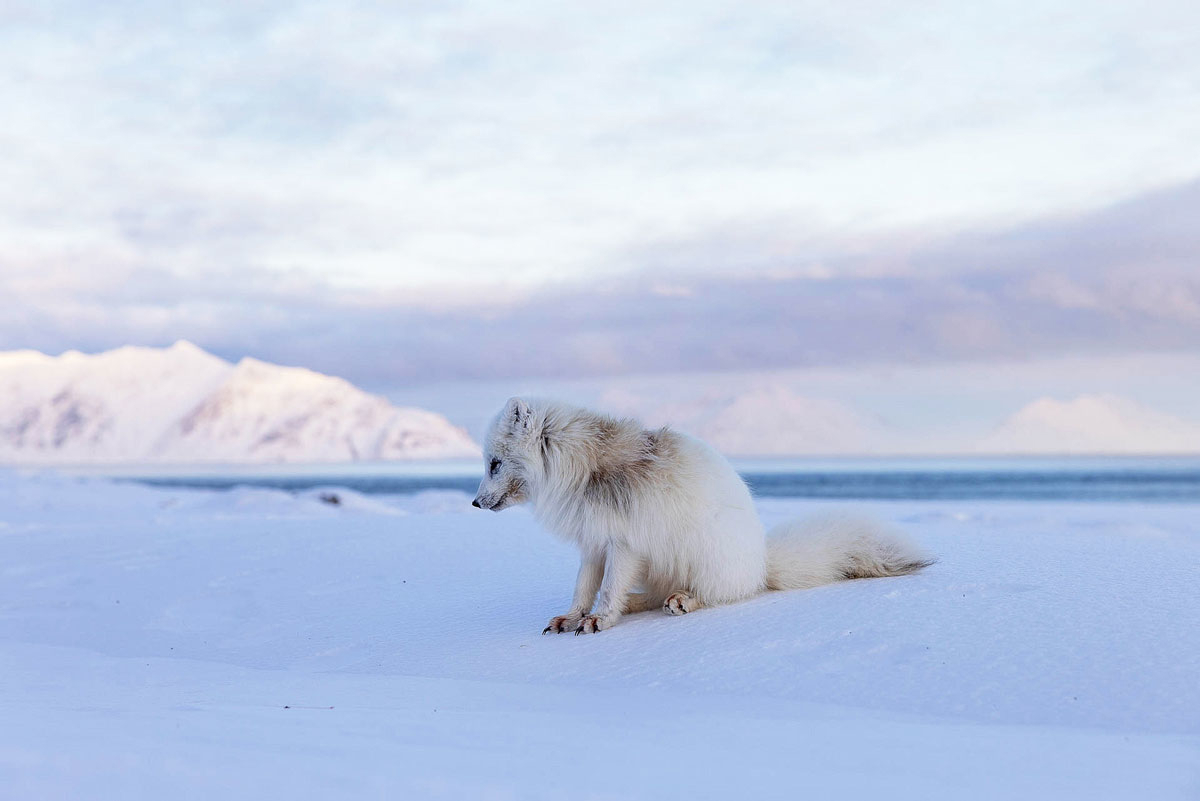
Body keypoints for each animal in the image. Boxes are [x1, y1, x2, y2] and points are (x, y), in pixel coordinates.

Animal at [472, 398, 931, 633]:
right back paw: (640, 604)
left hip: (705, 557)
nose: (475, 504)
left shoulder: (623, 543)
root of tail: (761, 564)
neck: (581, 469)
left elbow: (607, 590)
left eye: (494, 463)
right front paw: (574, 617)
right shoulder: (593, 543)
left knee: (717, 595)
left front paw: (599, 619)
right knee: (654, 594)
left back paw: (684, 601)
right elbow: (584, 588)